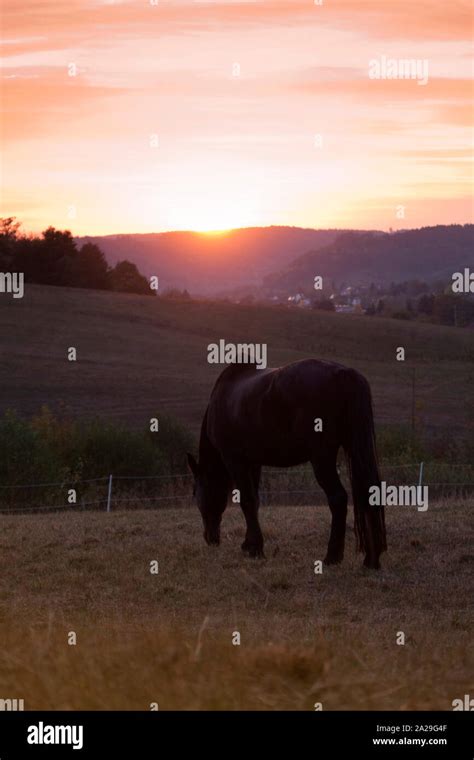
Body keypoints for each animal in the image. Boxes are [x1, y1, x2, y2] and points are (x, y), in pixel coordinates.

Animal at [187, 360, 386, 568]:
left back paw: (332, 556)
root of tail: (343, 373)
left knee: (338, 498)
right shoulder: (254, 463)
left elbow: (247, 501)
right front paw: (249, 545)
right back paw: (371, 559)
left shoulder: (235, 461)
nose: (210, 539)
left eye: (195, 493)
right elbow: (254, 501)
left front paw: (255, 549)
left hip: (322, 458)